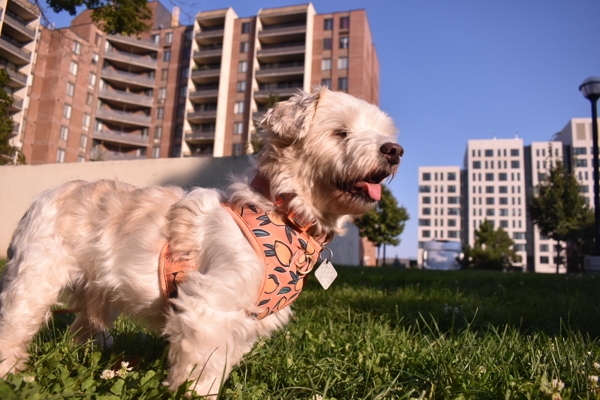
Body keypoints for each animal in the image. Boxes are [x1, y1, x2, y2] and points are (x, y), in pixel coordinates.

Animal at [0, 87, 406, 396]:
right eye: (340, 133)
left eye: (384, 135)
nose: (394, 150)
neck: (286, 219)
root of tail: (49, 192)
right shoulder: (208, 310)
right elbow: (200, 375)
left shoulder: (241, 324)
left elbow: (218, 366)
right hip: (34, 279)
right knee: (14, 327)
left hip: (97, 294)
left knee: (81, 330)